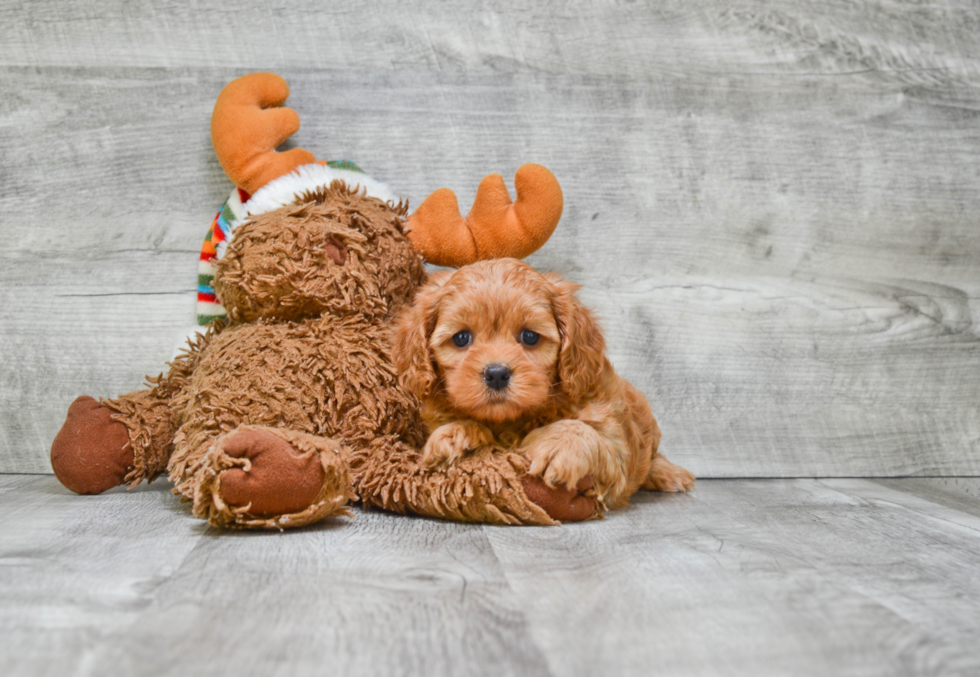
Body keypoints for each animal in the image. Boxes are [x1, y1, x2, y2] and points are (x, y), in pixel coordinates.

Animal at [394, 258, 692, 512]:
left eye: (529, 337)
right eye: (461, 338)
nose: (497, 373)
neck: (510, 422)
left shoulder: (615, 448)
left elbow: (587, 433)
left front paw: (559, 444)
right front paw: (457, 436)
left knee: (652, 458)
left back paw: (670, 474)